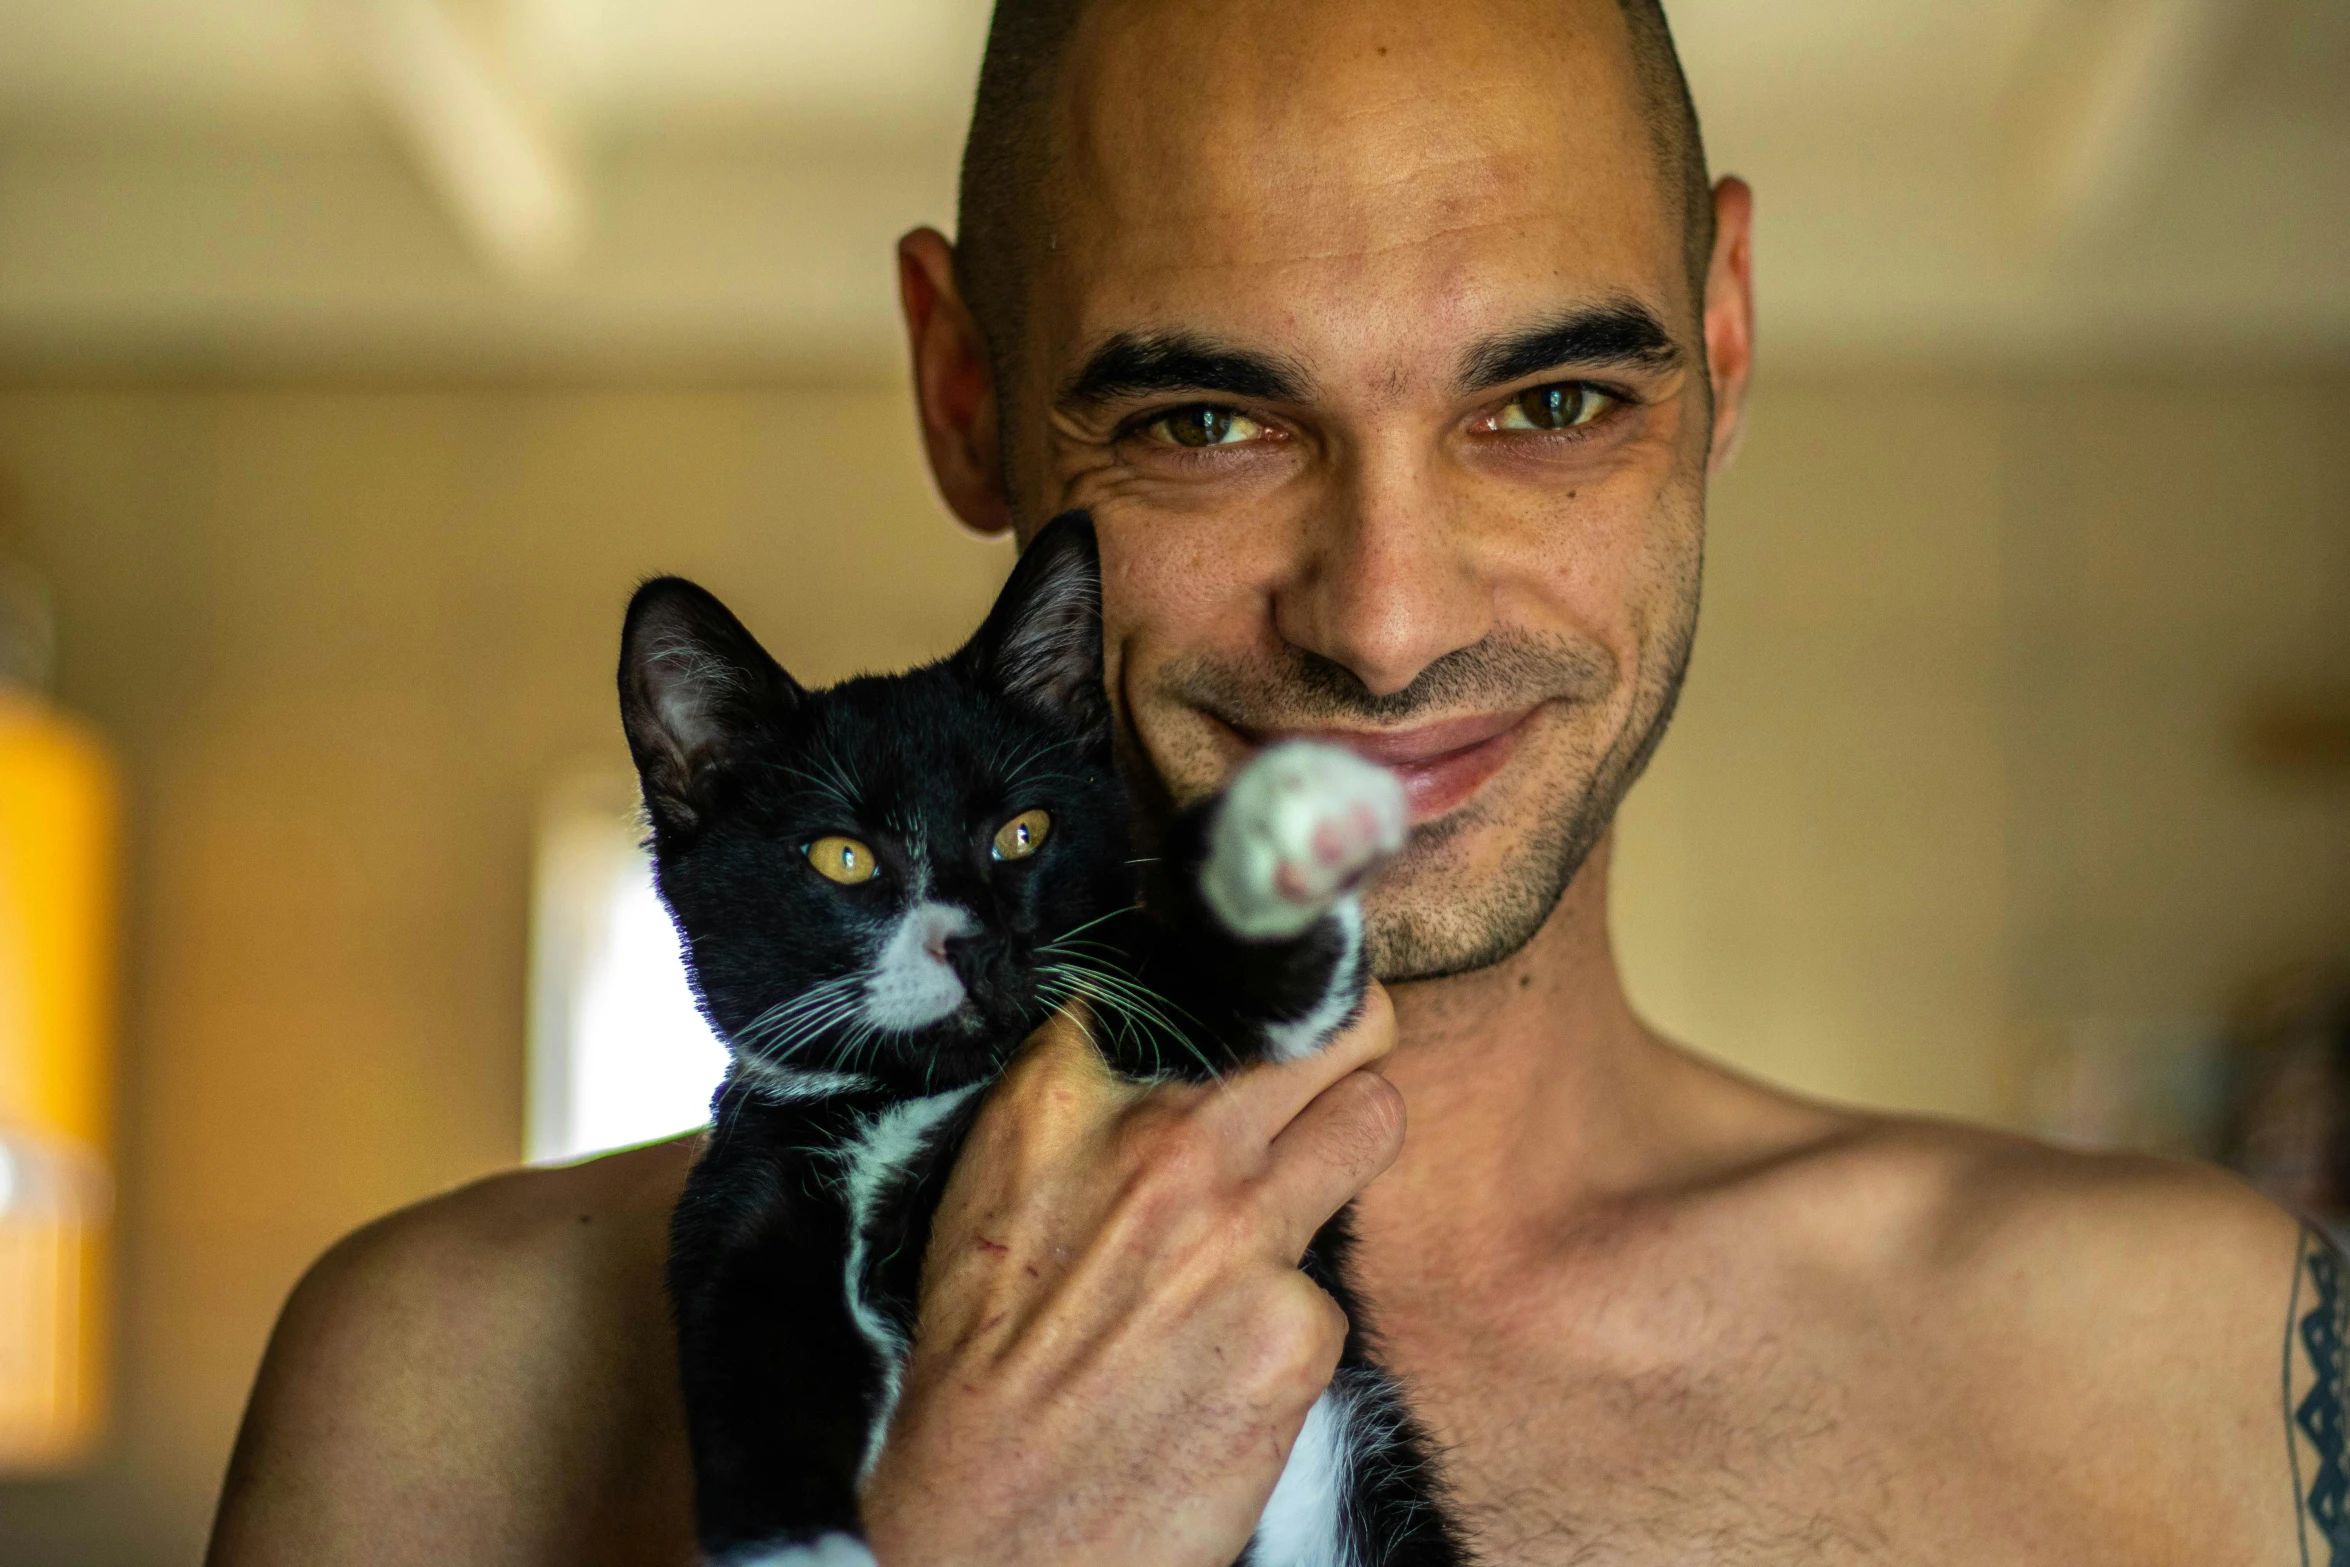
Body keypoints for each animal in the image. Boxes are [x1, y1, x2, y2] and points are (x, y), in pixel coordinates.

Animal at [625, 514, 1466, 1567]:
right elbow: (752, 1336)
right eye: (842, 857)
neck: (921, 1092)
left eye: (1023, 832)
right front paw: (793, 1544)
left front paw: (1284, 843)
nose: (975, 941)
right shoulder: (748, 1183)